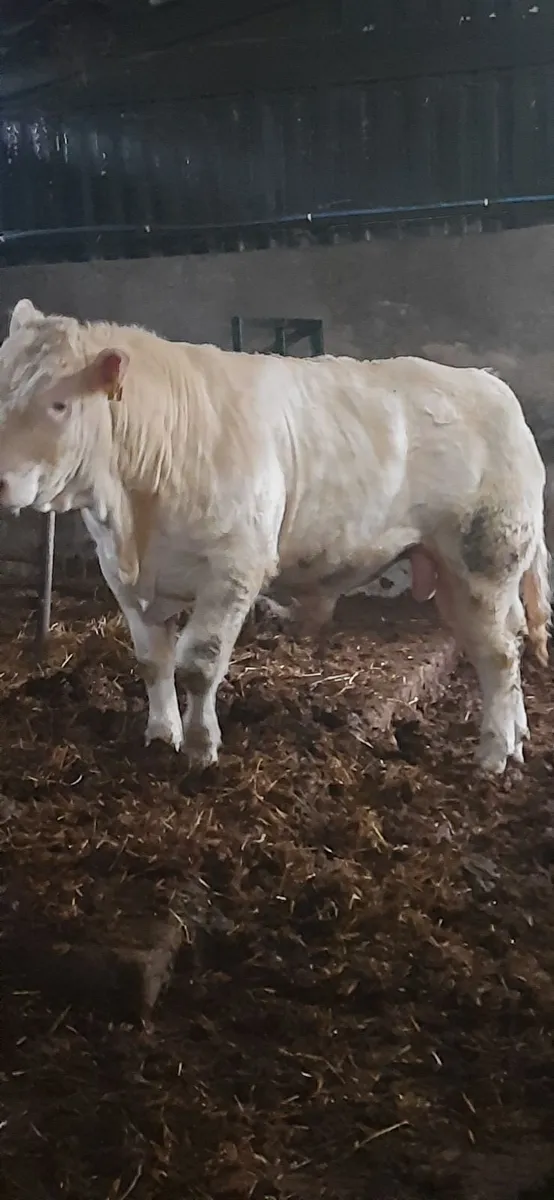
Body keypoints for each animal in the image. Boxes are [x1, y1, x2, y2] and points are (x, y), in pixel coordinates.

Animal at [0, 298, 549, 777]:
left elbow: (198, 663)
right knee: (509, 641)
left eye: (59, 404)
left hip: (484, 561)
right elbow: (153, 661)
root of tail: (490, 384)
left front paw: (200, 749)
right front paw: (161, 735)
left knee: (498, 654)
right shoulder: (122, 575)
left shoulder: (235, 568)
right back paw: (517, 737)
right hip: (466, 571)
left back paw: (494, 754)